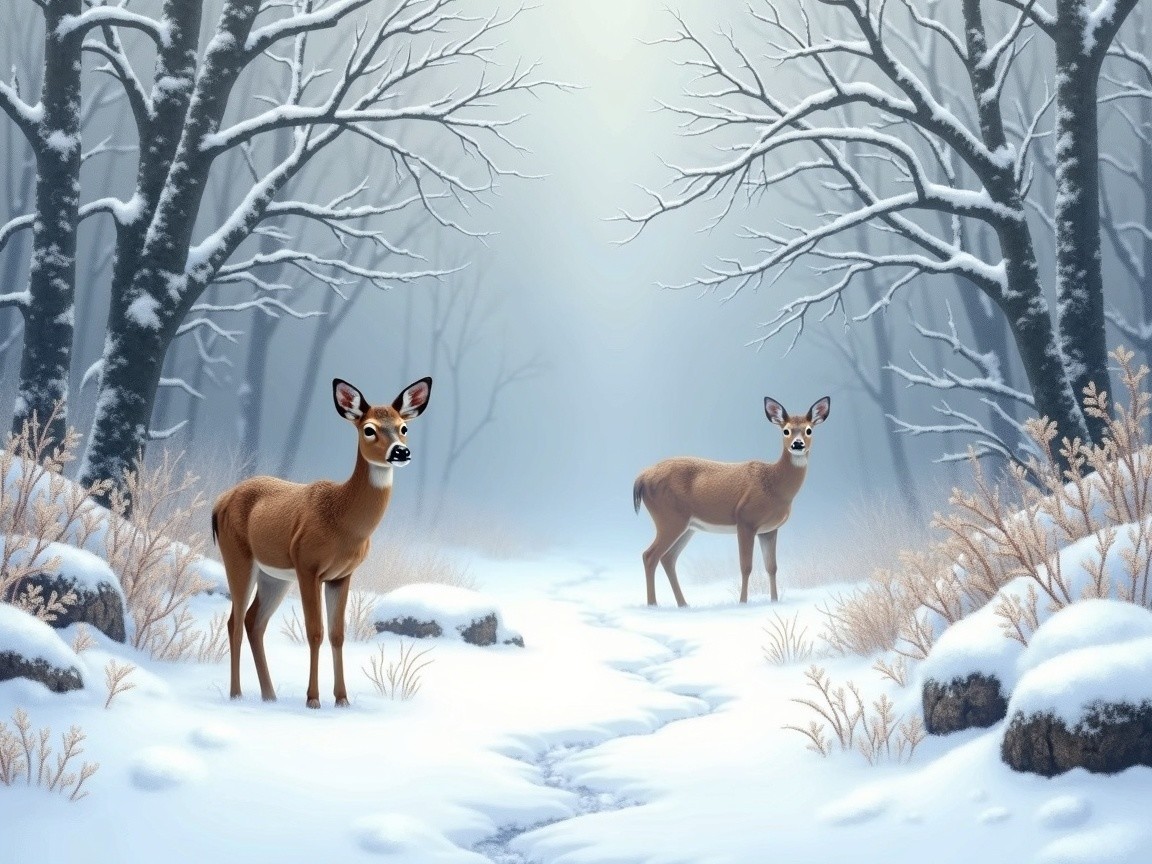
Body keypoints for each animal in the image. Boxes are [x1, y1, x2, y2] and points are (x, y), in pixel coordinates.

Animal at [212, 376, 431, 709]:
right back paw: (236, 694)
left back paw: (269, 696)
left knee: (254, 621)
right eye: (369, 429)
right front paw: (313, 699)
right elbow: (315, 631)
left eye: (403, 427)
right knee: (234, 622)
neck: (344, 524)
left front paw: (342, 699)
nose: (400, 452)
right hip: (238, 556)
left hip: (274, 577)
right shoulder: (307, 564)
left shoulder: (342, 575)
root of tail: (220, 501)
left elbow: (337, 634)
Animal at [633, 395, 830, 607]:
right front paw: (743, 603)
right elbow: (746, 566)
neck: (775, 485)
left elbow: (772, 567)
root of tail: (641, 478)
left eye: (809, 429)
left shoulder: (769, 529)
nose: (798, 444)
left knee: (668, 558)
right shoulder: (746, 520)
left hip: (687, 526)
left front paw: (774, 601)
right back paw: (653, 605)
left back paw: (683, 604)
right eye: (785, 430)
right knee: (650, 555)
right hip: (669, 518)